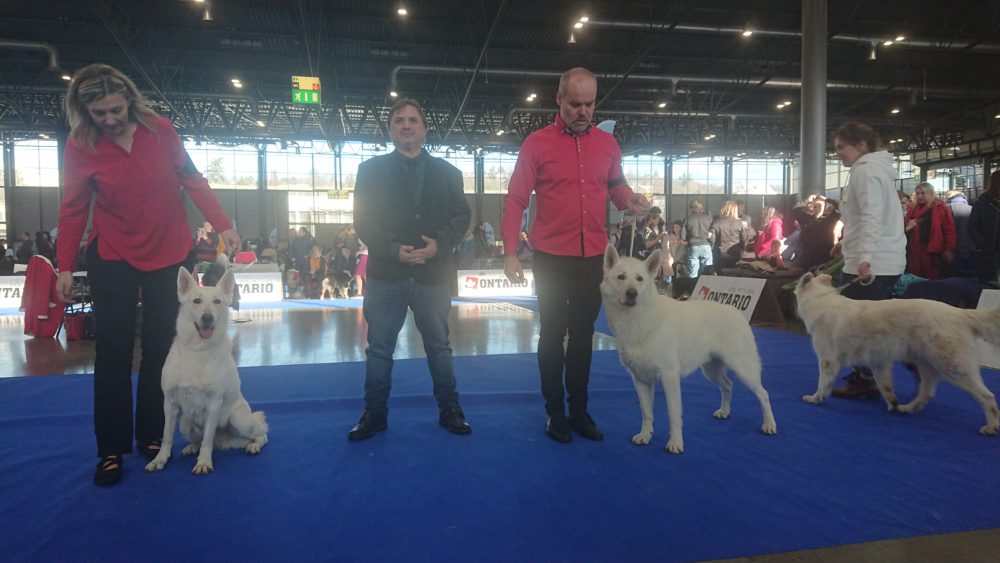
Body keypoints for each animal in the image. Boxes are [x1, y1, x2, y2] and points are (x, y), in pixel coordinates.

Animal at [145, 266, 270, 474]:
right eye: (197, 301)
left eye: (217, 302)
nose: (207, 318)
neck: (198, 350)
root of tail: (223, 442)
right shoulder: (170, 404)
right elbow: (167, 436)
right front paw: (160, 459)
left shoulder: (214, 404)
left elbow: (207, 439)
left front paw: (203, 462)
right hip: (184, 423)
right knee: (198, 439)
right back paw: (191, 447)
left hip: (238, 419)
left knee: (261, 435)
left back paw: (254, 446)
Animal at [596, 247, 776, 454]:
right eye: (621, 277)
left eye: (639, 279)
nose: (632, 293)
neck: (638, 318)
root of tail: (736, 312)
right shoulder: (641, 380)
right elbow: (646, 412)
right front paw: (645, 436)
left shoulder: (669, 378)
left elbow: (673, 415)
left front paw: (675, 443)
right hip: (711, 370)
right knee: (728, 386)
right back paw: (724, 411)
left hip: (743, 369)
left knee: (763, 394)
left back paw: (769, 424)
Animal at [792, 274, 996, 436]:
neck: (819, 300)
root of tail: (960, 313)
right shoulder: (878, 363)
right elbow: (885, 386)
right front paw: (892, 403)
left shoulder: (828, 360)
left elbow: (823, 383)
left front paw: (816, 398)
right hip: (926, 365)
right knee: (927, 393)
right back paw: (906, 408)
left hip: (953, 368)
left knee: (987, 396)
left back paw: (991, 426)